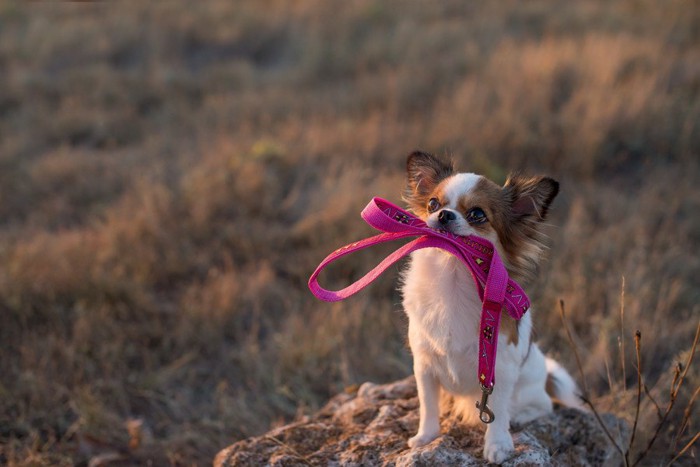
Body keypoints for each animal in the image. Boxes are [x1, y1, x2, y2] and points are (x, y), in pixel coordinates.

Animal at [402, 153, 584, 464]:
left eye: (477, 214)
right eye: (433, 204)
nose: (444, 215)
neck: (453, 279)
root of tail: (545, 374)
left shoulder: (499, 369)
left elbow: (496, 411)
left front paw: (498, 445)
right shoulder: (424, 365)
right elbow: (428, 404)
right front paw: (426, 436)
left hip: (528, 388)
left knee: (542, 405)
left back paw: (520, 416)